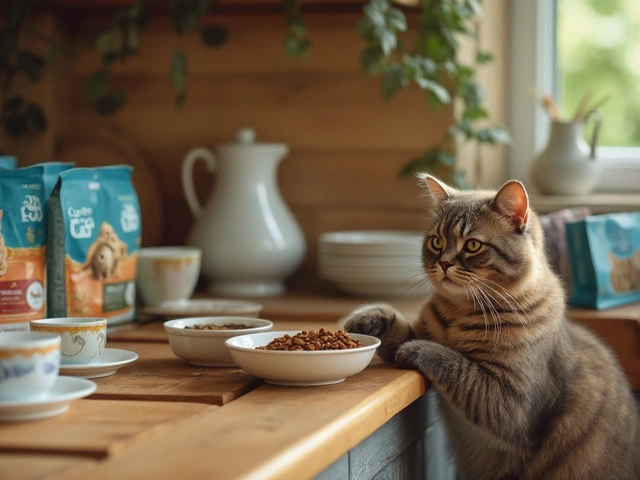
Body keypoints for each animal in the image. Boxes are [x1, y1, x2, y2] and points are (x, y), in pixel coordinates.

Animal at [344, 174, 640, 478]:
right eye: (437, 241)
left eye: (473, 245)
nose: (444, 262)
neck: (461, 312)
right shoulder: (424, 329)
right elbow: (399, 329)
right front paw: (366, 321)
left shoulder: (509, 401)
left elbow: (453, 362)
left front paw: (417, 350)